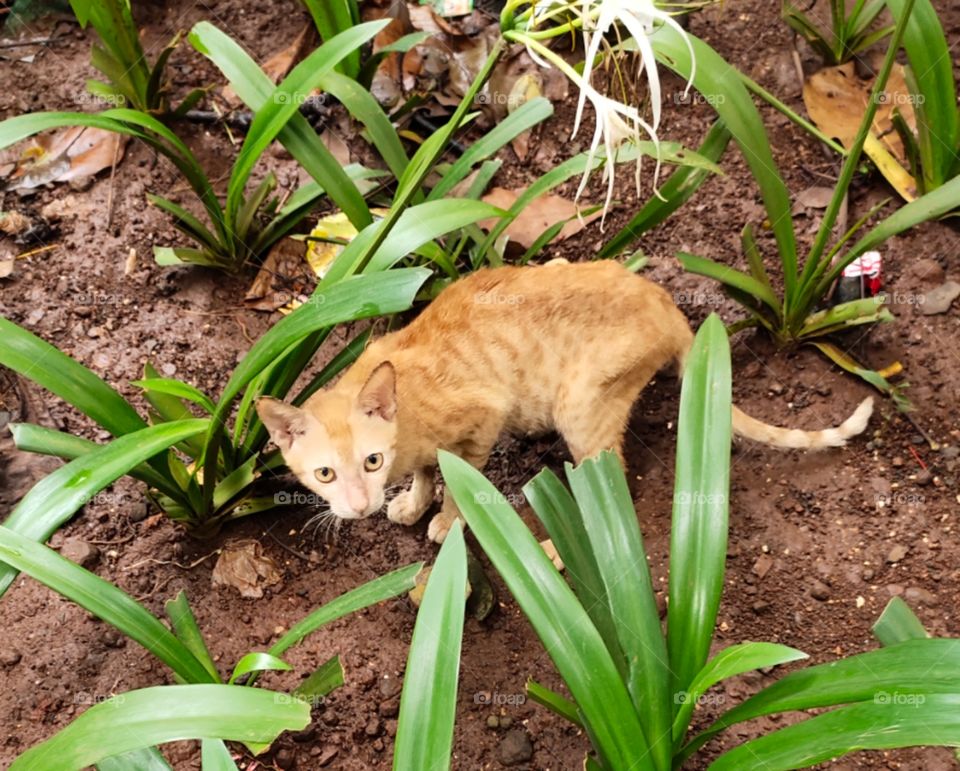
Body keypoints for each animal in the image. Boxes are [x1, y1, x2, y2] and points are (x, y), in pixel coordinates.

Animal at [258, 260, 872, 544]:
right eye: (324, 474)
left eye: (371, 461)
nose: (359, 505)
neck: (405, 415)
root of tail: (670, 308)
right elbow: (429, 473)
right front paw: (412, 502)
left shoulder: (484, 418)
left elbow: (456, 480)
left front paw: (445, 519)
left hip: (578, 407)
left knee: (615, 485)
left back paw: (560, 549)